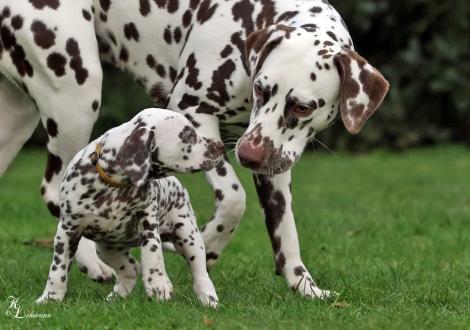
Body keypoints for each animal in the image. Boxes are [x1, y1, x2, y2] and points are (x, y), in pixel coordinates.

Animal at [35, 109, 223, 308]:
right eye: (188, 135)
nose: (220, 145)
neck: (113, 186)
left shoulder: (147, 221)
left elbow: (153, 253)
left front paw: (158, 284)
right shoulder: (67, 231)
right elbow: (58, 269)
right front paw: (50, 297)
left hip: (189, 237)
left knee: (200, 273)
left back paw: (209, 299)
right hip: (107, 250)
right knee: (131, 270)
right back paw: (115, 297)